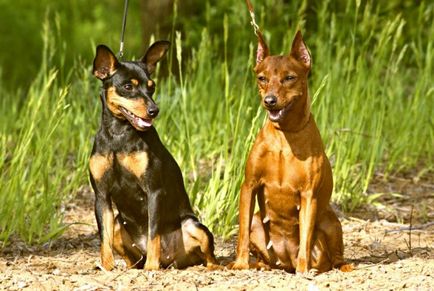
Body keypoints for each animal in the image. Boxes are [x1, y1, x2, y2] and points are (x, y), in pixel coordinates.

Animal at [89, 41, 217, 272]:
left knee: (210, 255)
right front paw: (106, 266)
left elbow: (153, 233)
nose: (154, 110)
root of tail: (171, 260)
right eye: (128, 87)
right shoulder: (101, 195)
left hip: (195, 227)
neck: (118, 135)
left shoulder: (154, 191)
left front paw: (151, 267)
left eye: (152, 86)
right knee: (131, 257)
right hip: (118, 224)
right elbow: (104, 239)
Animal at [231, 26, 352, 274]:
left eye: (289, 78)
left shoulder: (309, 196)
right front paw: (240, 264)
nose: (270, 100)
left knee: (334, 256)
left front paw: (303, 270)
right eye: (262, 78)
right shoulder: (249, 186)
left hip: (329, 221)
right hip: (259, 223)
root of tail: (285, 259)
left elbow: (305, 238)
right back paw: (262, 265)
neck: (285, 137)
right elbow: (242, 236)